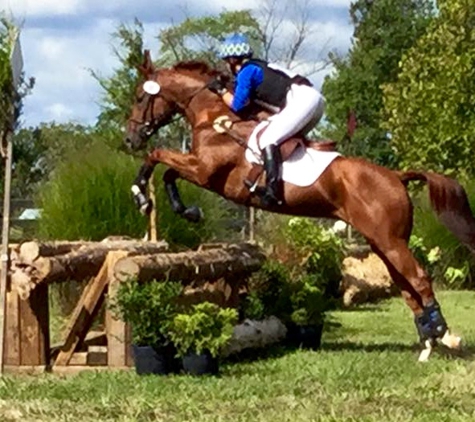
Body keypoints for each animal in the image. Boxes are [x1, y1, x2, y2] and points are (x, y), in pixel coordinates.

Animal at [123, 49, 475, 360]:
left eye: (140, 97)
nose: (129, 139)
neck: (216, 118)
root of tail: (396, 176)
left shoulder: (205, 171)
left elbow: (157, 156)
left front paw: (140, 194)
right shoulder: (200, 170)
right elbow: (167, 171)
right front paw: (186, 210)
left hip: (390, 241)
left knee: (419, 278)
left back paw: (445, 335)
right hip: (383, 243)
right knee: (405, 285)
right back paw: (428, 343)